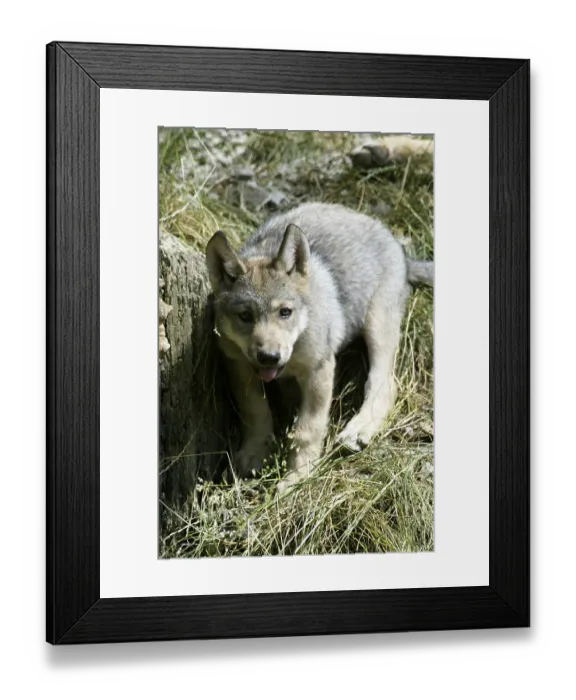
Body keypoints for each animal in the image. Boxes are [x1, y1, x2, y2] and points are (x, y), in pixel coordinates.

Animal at [206, 202, 433, 493]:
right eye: (245, 316)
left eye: (285, 312)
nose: (269, 357)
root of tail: (400, 250)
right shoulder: (240, 366)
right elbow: (256, 411)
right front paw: (254, 454)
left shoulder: (319, 371)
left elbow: (307, 431)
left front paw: (297, 478)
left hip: (377, 327)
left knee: (384, 384)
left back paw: (358, 431)